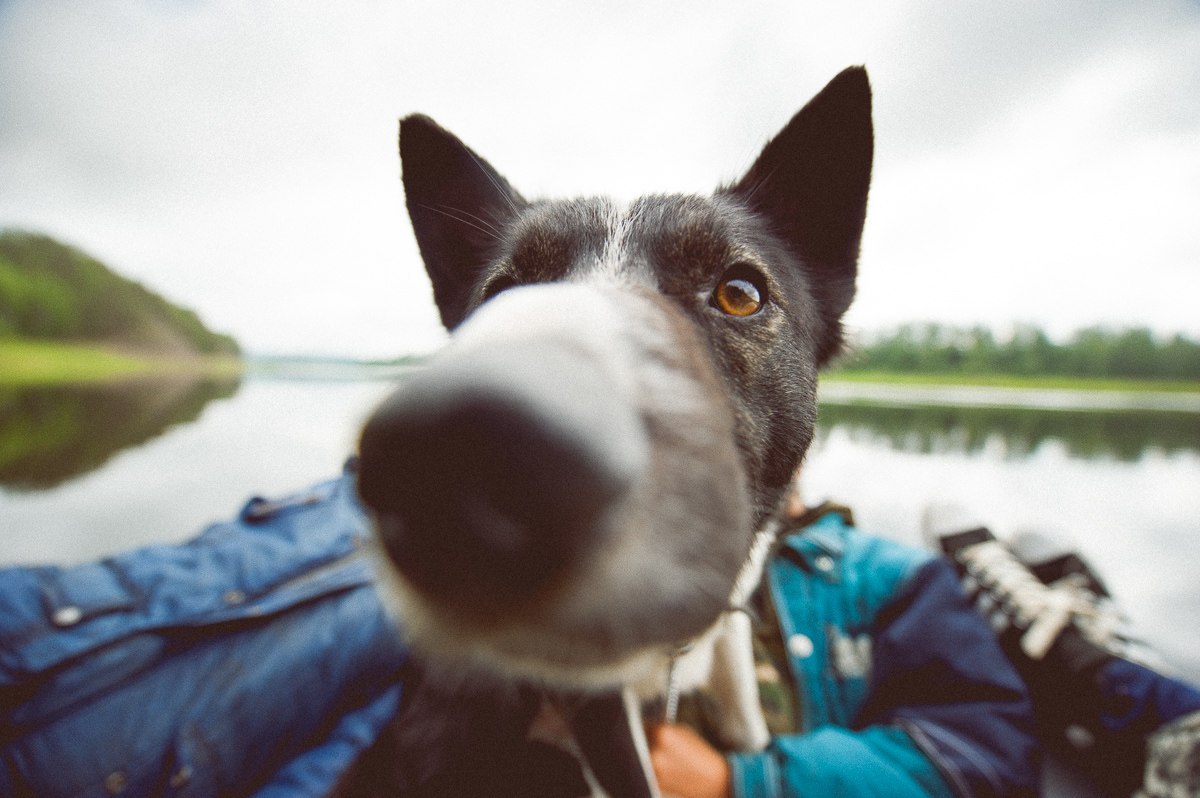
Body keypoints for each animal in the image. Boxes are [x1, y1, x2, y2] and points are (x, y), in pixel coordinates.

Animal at [343, 65, 878, 792]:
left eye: (740, 293)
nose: (469, 446)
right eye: (500, 295)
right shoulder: (592, 706)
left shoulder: (731, 635)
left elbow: (748, 723)